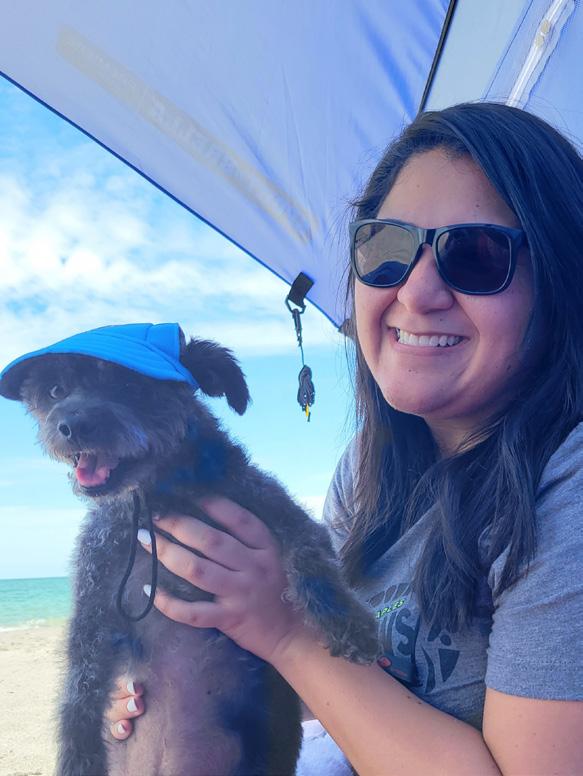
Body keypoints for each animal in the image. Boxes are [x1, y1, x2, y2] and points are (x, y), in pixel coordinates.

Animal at [0, 323, 378, 776]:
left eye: (129, 385)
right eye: (56, 391)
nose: (71, 426)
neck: (161, 497)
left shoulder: (272, 507)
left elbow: (311, 551)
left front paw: (347, 621)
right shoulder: (92, 607)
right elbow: (79, 696)